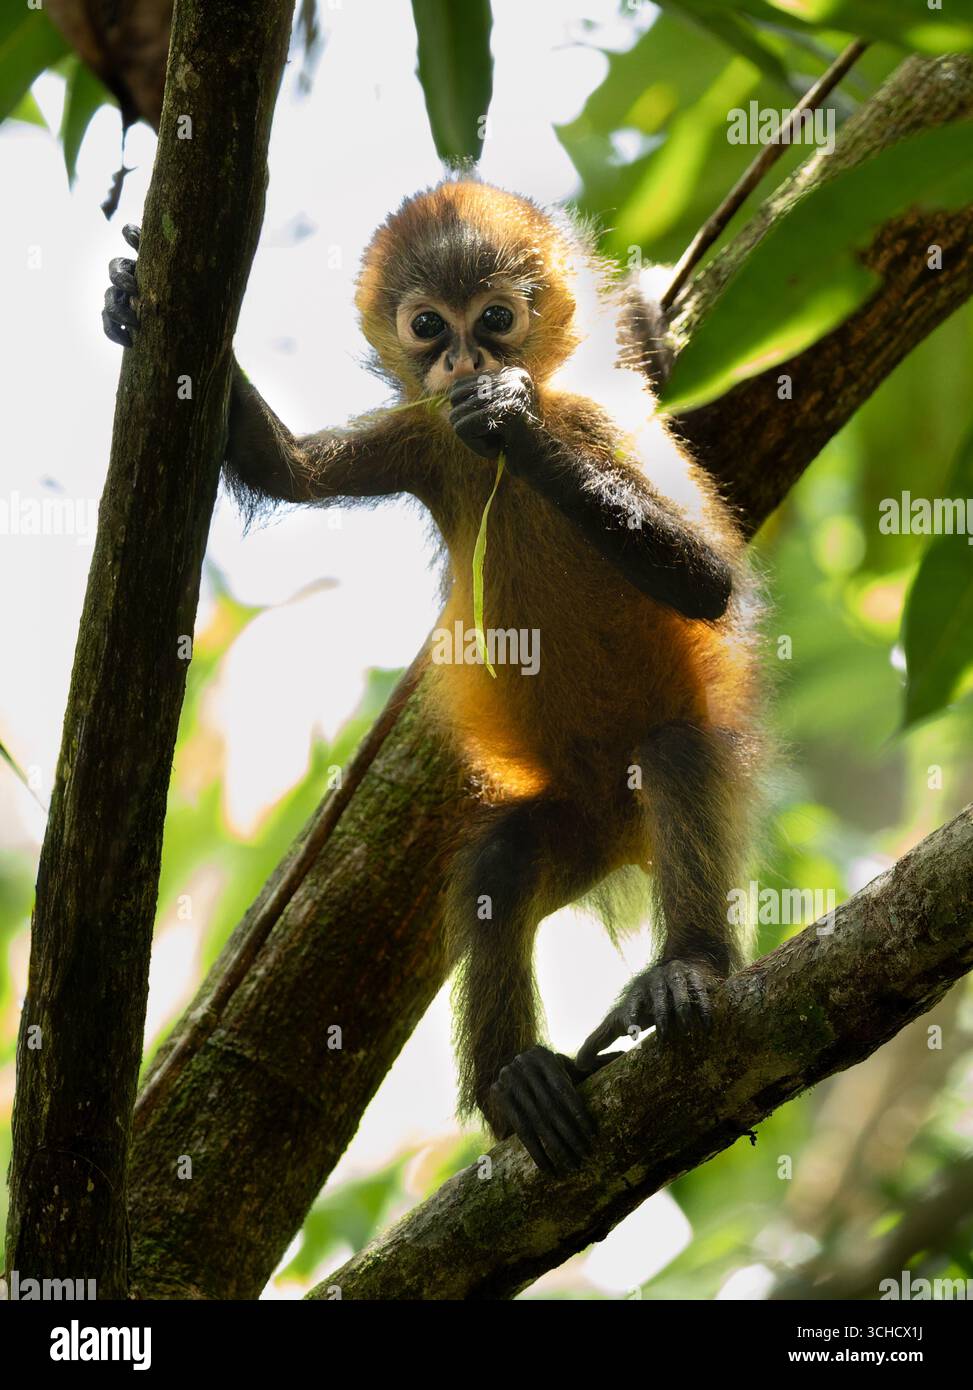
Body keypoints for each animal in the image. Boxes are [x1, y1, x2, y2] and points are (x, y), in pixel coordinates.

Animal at [102, 179, 762, 1176]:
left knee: (678, 752)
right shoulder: (426, 439)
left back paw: (687, 966)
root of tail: (619, 832)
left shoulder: (592, 422)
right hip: (568, 824)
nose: (462, 359)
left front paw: (515, 422)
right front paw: (131, 300)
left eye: (494, 319)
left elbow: (707, 583)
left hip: (665, 771)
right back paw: (514, 1086)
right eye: (426, 327)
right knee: (501, 860)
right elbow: (287, 474)